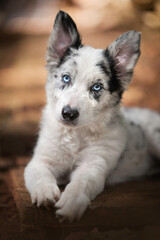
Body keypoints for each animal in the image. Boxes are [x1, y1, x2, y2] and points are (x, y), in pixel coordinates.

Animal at [24, 10, 160, 221]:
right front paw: (44, 193)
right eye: (66, 78)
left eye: (97, 87)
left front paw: (71, 203)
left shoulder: (95, 163)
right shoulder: (42, 159)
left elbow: (82, 182)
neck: (76, 135)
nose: (68, 113)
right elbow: (38, 173)